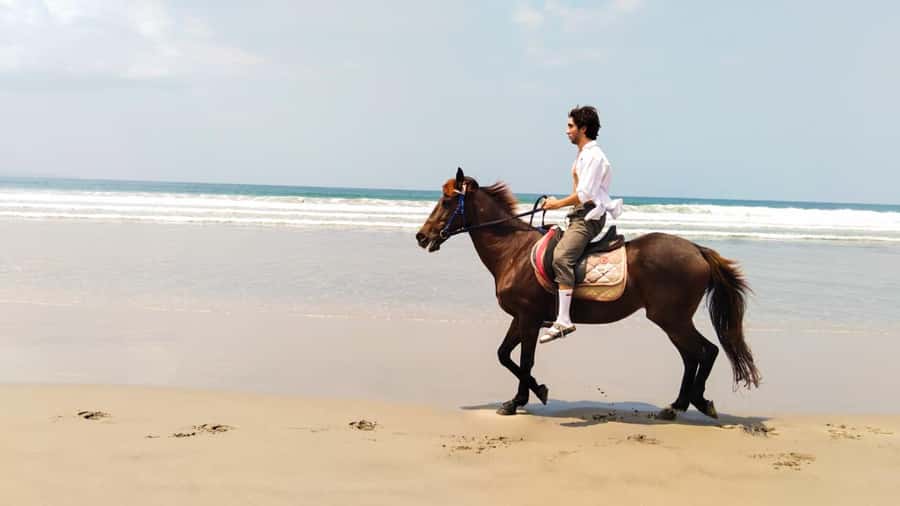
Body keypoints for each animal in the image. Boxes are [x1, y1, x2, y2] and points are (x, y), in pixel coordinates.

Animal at [415, 168, 759, 419]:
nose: (421, 236)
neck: (513, 252)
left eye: (447, 201)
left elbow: (524, 360)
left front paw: (523, 398)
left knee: (705, 351)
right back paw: (676, 405)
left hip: (671, 318)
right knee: (692, 355)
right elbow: (505, 355)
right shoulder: (521, 318)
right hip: (672, 320)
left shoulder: (528, 318)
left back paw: (698, 403)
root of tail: (698, 250)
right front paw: (530, 394)